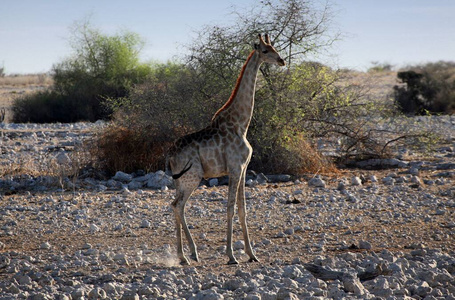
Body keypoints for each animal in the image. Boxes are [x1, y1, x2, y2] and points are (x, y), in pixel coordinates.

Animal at [167, 33, 286, 264]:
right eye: (265, 51)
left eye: (275, 47)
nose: (281, 61)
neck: (241, 124)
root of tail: (170, 155)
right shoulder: (234, 168)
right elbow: (230, 208)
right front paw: (231, 255)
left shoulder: (244, 168)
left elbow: (242, 209)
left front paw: (252, 254)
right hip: (193, 177)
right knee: (178, 205)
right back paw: (188, 255)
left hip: (180, 180)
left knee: (176, 205)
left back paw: (187, 254)